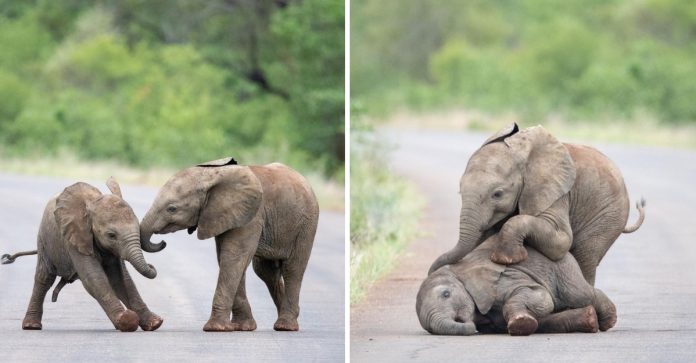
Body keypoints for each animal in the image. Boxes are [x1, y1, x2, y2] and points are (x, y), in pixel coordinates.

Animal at [1, 179, 163, 332]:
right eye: (111, 235)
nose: (151, 265)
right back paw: (31, 326)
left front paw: (154, 323)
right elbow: (93, 277)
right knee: (44, 278)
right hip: (44, 240)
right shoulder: (74, 237)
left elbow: (120, 279)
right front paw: (128, 320)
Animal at [139, 158, 318, 332]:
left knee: (293, 268)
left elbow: (233, 257)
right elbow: (228, 259)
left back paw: (285, 326)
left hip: (306, 224)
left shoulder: (252, 215)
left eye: (172, 209)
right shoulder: (222, 215)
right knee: (265, 271)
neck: (210, 175)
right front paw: (242, 327)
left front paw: (215, 328)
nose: (162, 243)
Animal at [416, 236, 616, 336]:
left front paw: (520, 323)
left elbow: (541, 296)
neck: (458, 272)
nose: (469, 325)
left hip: (562, 267)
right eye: (429, 330)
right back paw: (590, 320)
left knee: (580, 294)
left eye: (446, 294)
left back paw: (608, 320)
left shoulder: (503, 279)